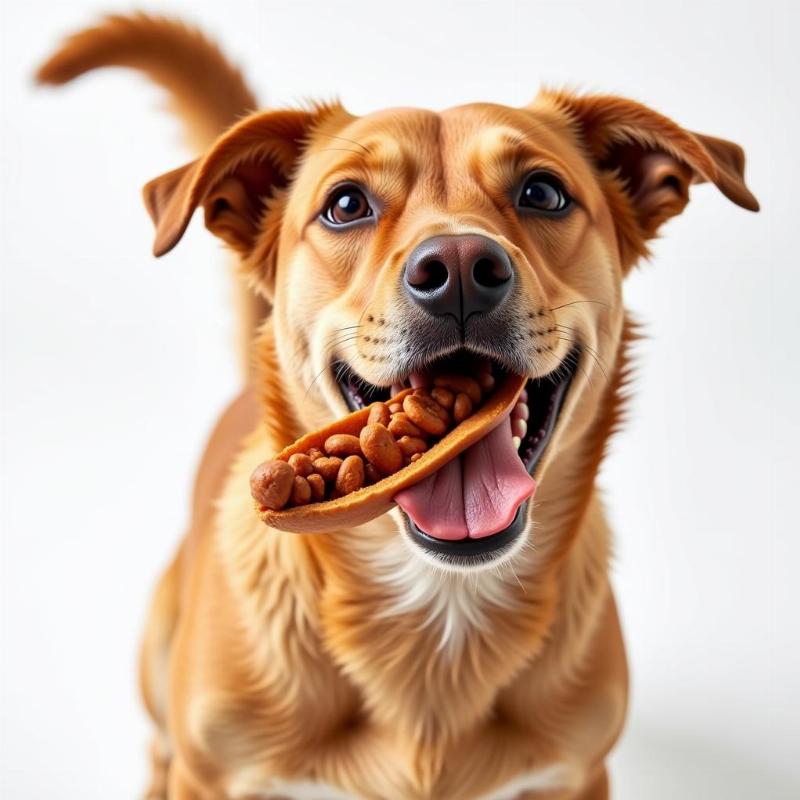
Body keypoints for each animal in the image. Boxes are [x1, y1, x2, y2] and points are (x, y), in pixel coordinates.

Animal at [37, 14, 760, 800]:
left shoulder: (577, 773)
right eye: (347, 205)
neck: (441, 612)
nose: (460, 269)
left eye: (543, 193)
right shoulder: (213, 776)